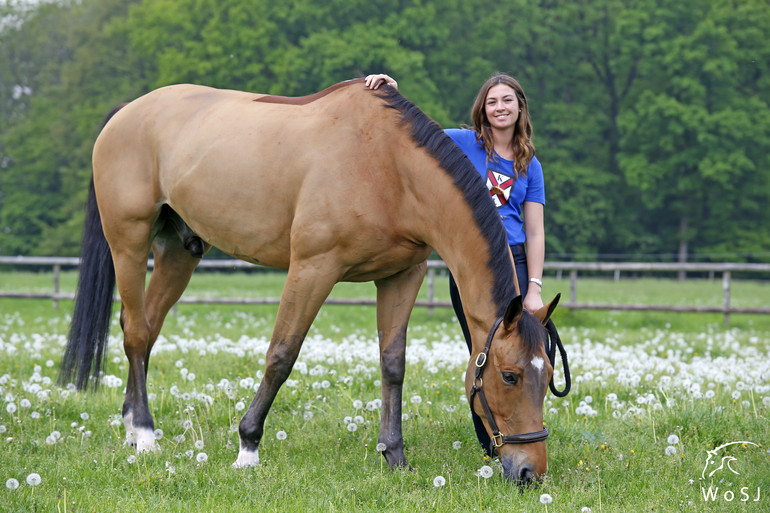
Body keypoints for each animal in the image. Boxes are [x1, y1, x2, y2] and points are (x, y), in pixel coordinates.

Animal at [60, 78, 560, 482]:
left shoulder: (402, 276)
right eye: (510, 376)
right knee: (136, 332)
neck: (389, 165)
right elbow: (282, 354)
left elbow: (392, 364)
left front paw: (394, 456)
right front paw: (247, 447)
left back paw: (131, 427)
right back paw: (145, 434)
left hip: (178, 251)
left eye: (550, 376)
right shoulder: (313, 267)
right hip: (129, 241)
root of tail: (127, 112)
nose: (530, 472)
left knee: (143, 332)